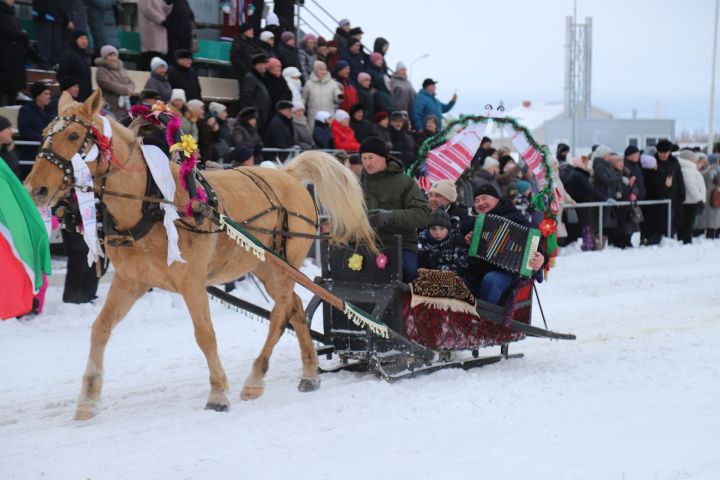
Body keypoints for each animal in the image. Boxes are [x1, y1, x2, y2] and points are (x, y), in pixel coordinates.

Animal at [25, 91, 374, 420]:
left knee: (279, 314)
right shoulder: (130, 281)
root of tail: (287, 173)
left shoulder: (191, 283)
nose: (35, 189)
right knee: (296, 308)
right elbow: (100, 329)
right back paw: (310, 372)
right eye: (43, 132)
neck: (152, 202)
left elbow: (205, 335)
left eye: (73, 136)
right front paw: (88, 399)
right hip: (266, 267)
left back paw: (256, 377)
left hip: (285, 263)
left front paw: (218, 394)